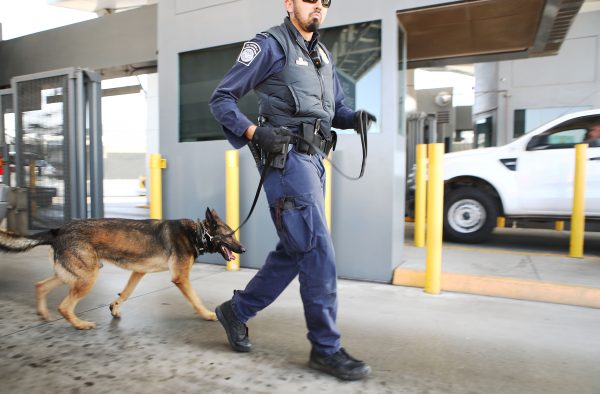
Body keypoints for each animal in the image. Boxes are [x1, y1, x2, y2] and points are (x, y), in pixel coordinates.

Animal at [0, 208, 246, 330]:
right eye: (230, 235)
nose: (243, 249)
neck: (198, 233)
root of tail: (58, 230)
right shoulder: (180, 278)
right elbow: (195, 299)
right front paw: (207, 314)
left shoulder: (139, 272)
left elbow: (125, 293)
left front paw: (115, 308)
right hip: (87, 277)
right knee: (64, 306)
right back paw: (80, 325)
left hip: (73, 275)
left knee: (40, 285)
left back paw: (43, 313)